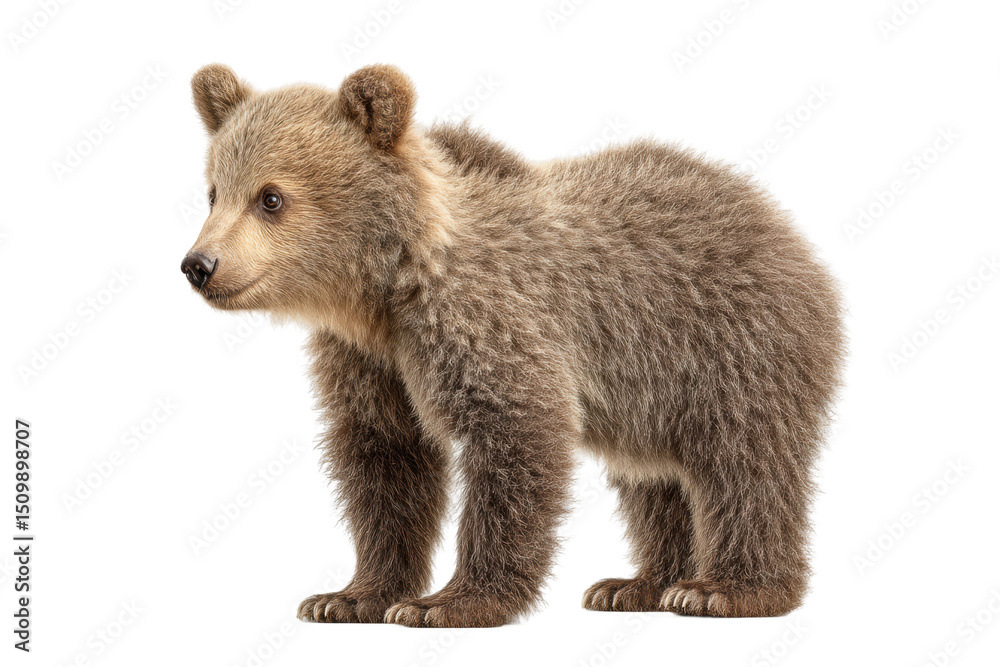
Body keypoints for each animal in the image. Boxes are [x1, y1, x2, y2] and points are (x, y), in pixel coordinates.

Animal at [182, 63, 845, 627]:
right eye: (213, 191)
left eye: (271, 197)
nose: (199, 264)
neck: (386, 292)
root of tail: (786, 229)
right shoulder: (371, 364)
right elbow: (386, 461)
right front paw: (348, 596)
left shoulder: (488, 323)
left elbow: (514, 439)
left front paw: (448, 602)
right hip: (649, 390)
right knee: (654, 478)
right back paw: (637, 584)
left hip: (729, 345)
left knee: (744, 465)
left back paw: (725, 590)